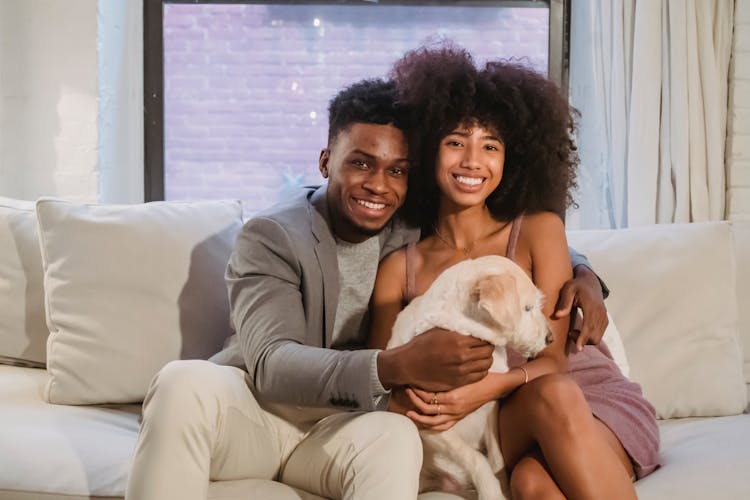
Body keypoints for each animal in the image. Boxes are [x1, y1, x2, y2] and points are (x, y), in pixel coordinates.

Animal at [388, 256, 552, 498]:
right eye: (527, 308)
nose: (551, 338)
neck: (463, 330)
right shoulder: (429, 426)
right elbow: (475, 459)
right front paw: (491, 491)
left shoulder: (490, 408)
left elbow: (496, 458)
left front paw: (503, 486)